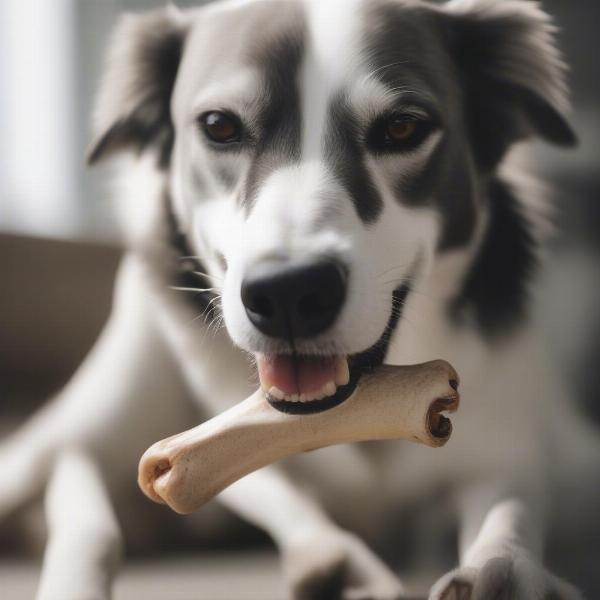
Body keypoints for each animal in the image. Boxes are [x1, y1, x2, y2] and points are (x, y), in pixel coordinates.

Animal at [0, 0, 596, 596]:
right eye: (219, 125)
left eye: (403, 126)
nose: (288, 293)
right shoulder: (182, 447)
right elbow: (224, 492)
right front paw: (333, 564)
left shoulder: (514, 447)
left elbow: (511, 509)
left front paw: (502, 570)